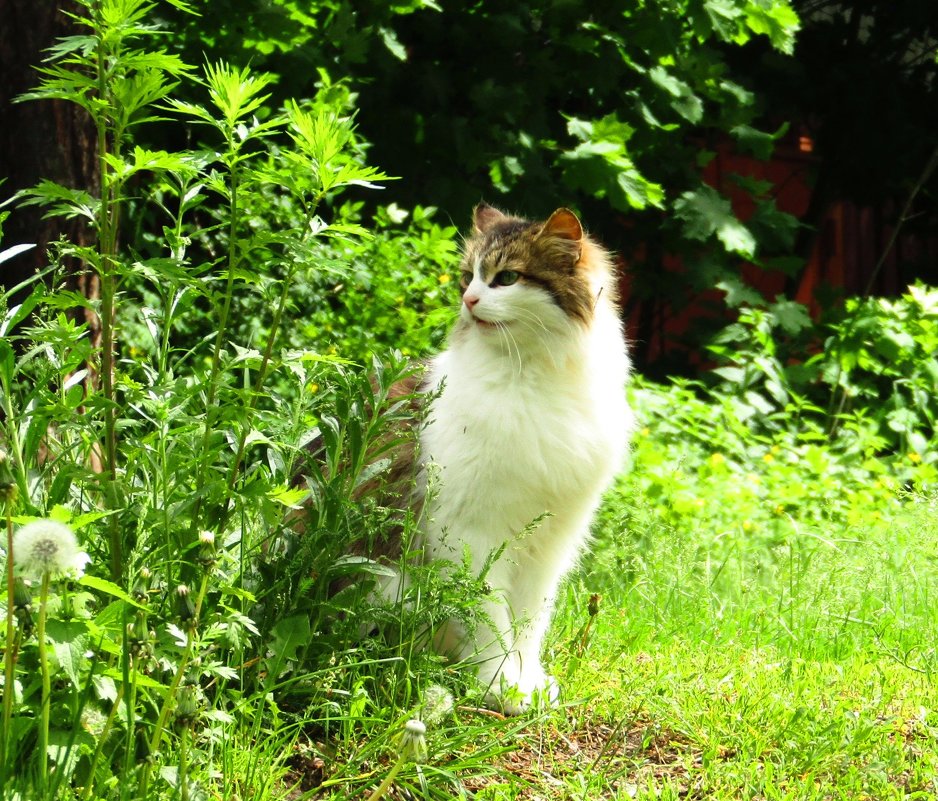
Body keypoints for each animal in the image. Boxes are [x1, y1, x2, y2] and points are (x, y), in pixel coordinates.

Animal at [406, 202, 632, 712]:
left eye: (506, 278)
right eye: (468, 277)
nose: (469, 300)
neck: (533, 375)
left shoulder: (550, 542)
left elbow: (529, 622)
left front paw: (528, 682)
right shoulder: (470, 534)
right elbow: (489, 620)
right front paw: (500, 687)